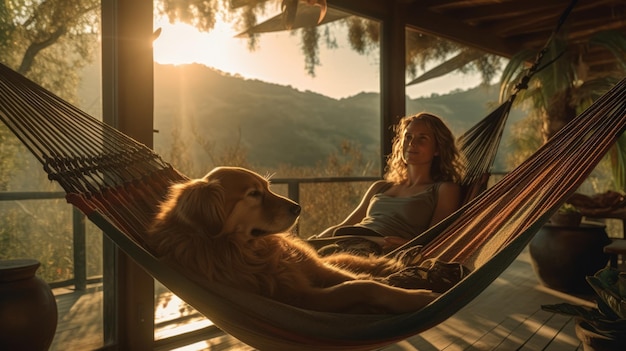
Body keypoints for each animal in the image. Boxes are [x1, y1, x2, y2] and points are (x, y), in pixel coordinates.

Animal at [147, 166, 438, 314]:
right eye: (254, 194)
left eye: (267, 187)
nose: (297, 208)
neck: (246, 249)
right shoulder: (301, 297)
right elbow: (360, 286)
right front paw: (415, 296)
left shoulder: (313, 272)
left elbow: (357, 278)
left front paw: (398, 283)